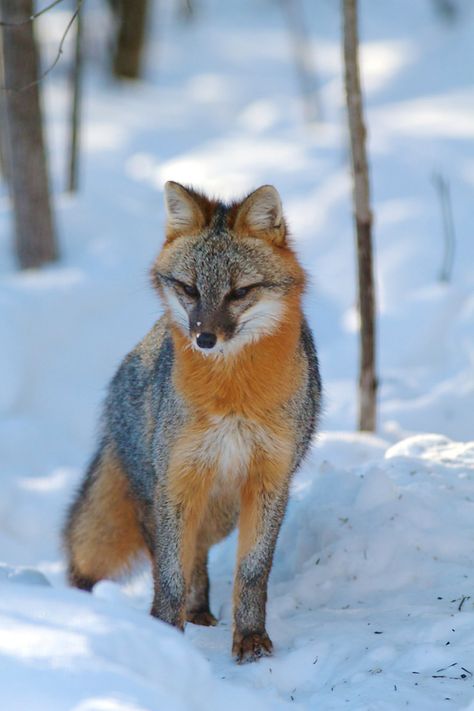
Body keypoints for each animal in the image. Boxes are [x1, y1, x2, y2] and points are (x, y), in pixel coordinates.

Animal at [64, 182, 322, 660]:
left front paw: (251, 638)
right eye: (188, 288)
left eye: (239, 292)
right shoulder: (179, 480)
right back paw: (187, 615)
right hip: (168, 496)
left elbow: (252, 573)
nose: (204, 338)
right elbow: (170, 574)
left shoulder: (270, 480)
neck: (233, 398)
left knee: (200, 551)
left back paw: (201, 612)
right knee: (180, 559)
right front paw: (165, 635)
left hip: (222, 510)